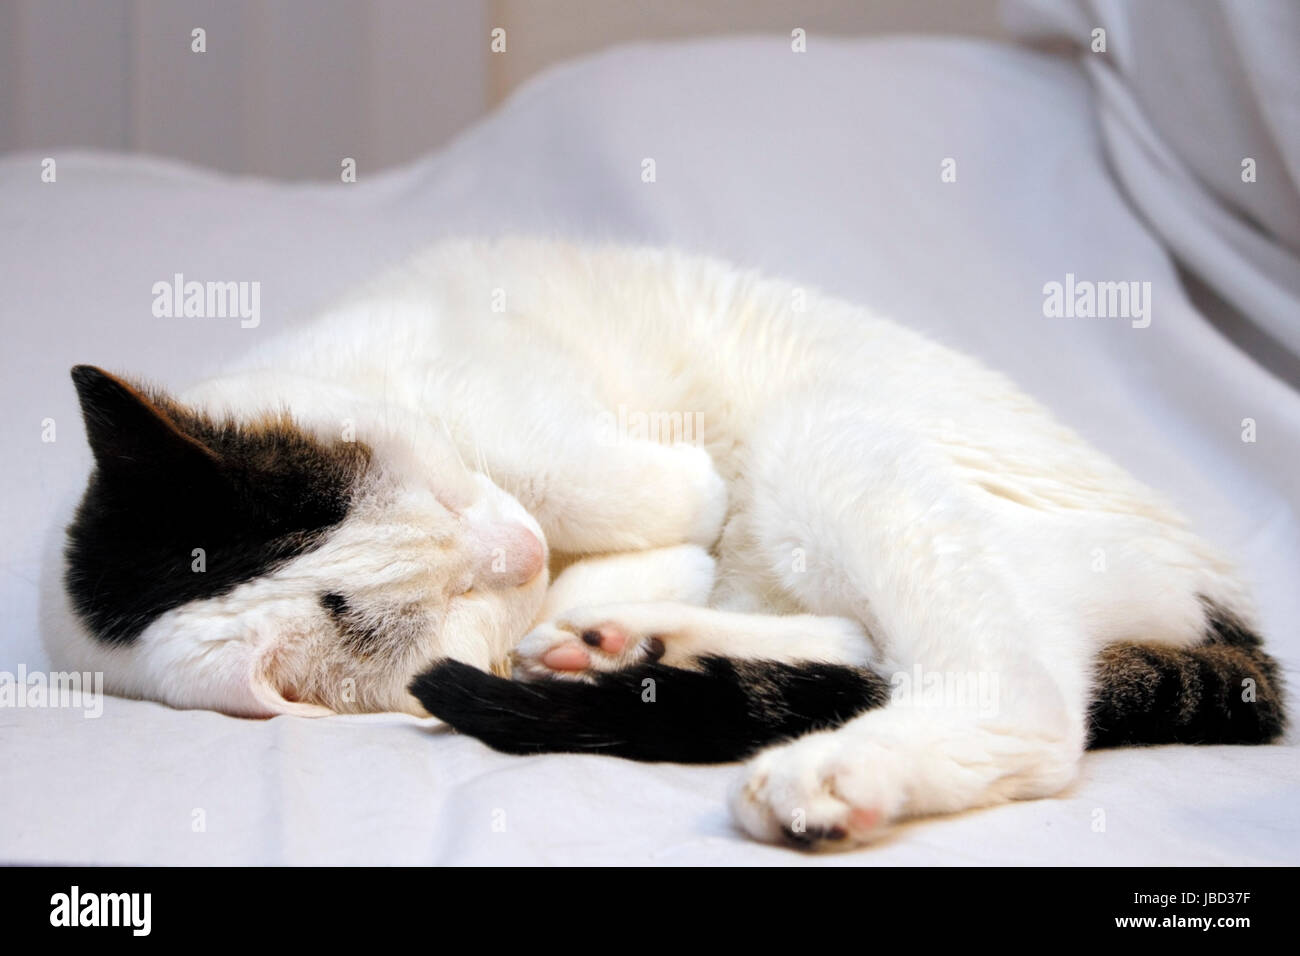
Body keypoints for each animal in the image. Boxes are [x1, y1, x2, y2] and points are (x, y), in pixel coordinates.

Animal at [50, 239, 1279, 853]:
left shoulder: (506, 410)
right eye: (446, 615)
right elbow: (649, 535)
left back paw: (816, 762)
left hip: (822, 443)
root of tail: (1225, 606)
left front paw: (637, 530)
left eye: (441, 501)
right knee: (901, 659)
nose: (515, 551)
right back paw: (631, 645)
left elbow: (626, 486)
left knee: (1008, 690)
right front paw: (603, 599)